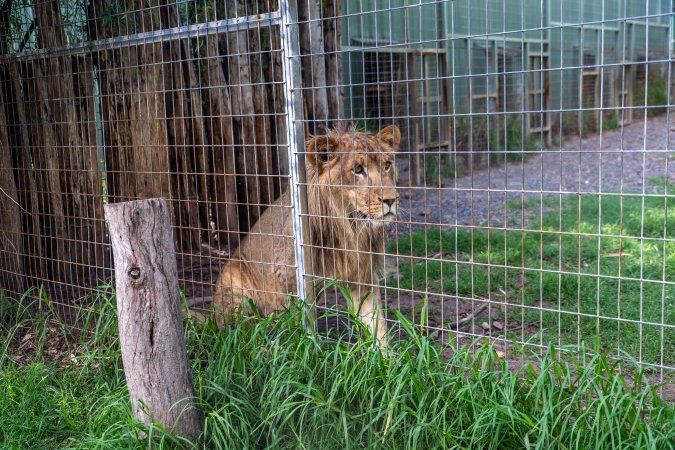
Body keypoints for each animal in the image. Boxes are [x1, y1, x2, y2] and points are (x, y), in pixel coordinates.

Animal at [204, 124, 400, 346]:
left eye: (387, 165)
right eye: (358, 170)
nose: (391, 199)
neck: (348, 227)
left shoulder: (363, 275)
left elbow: (377, 325)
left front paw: (385, 355)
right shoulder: (288, 278)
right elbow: (296, 325)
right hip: (233, 280)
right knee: (239, 333)